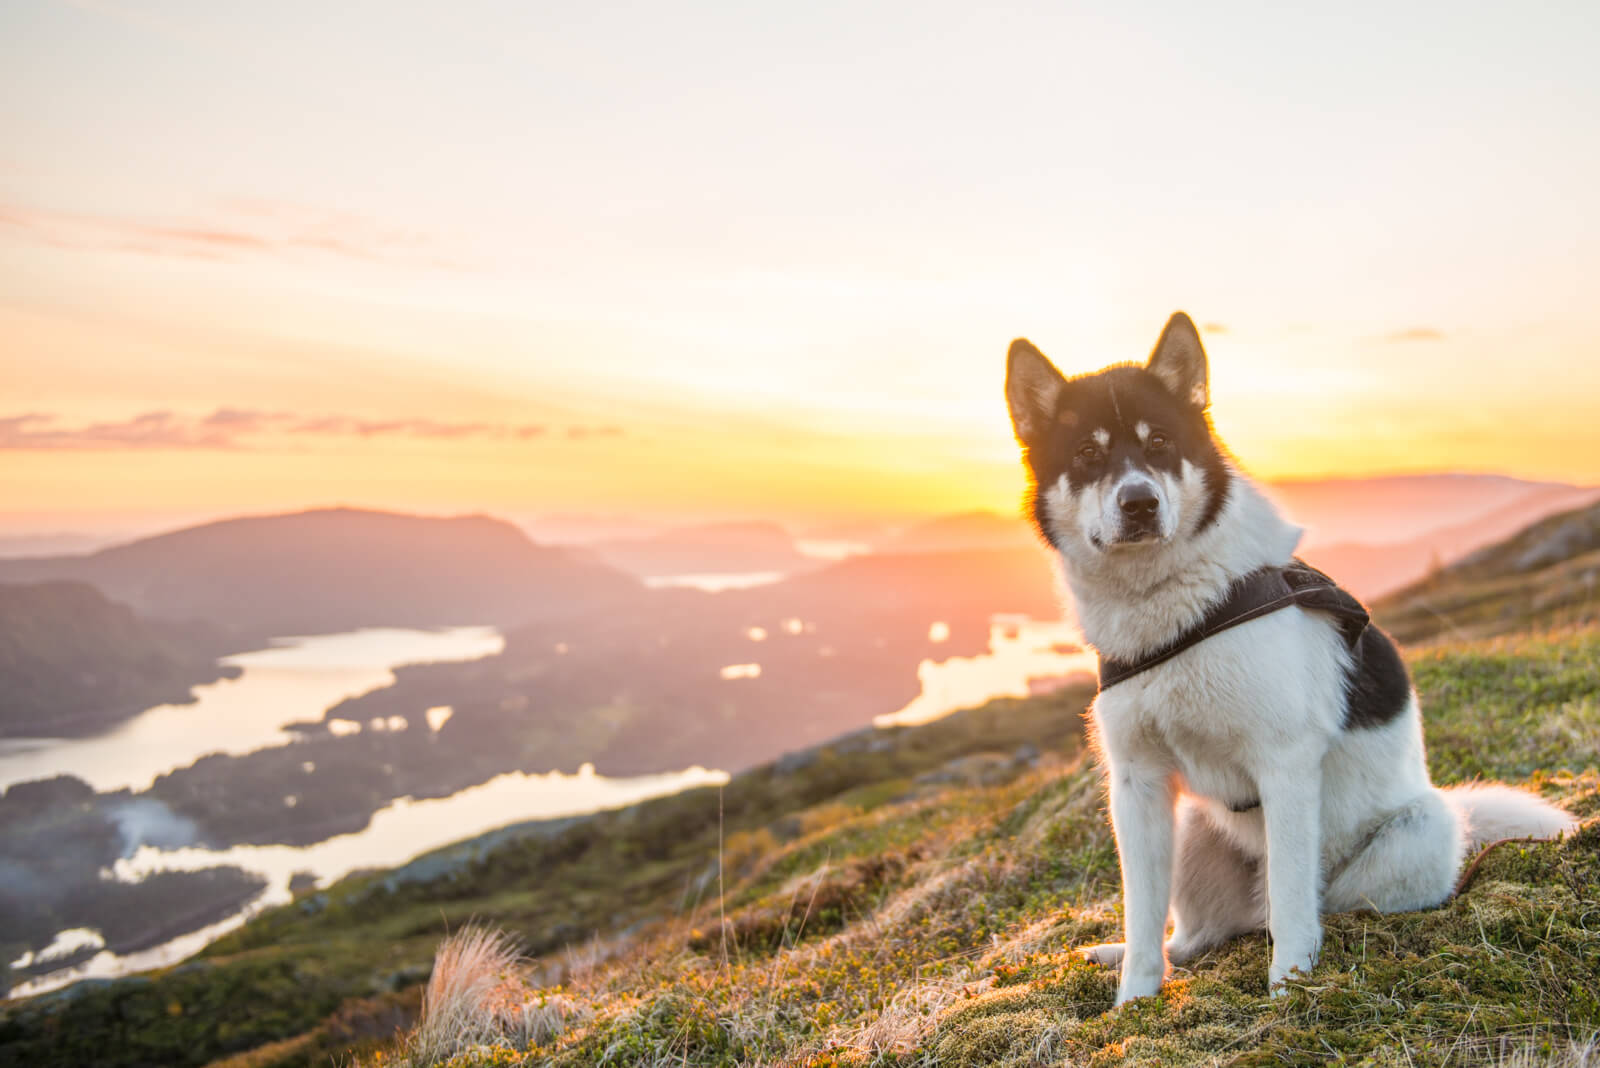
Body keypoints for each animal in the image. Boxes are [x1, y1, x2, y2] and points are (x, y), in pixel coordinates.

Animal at [998, 313, 1574, 1004]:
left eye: (1160, 442)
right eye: (1088, 452)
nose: (1140, 503)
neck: (1179, 611)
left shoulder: (1286, 766)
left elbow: (1296, 900)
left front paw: (1292, 984)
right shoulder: (1138, 785)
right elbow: (1142, 915)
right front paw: (1134, 1003)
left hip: (1413, 837)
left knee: (1316, 902)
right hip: (1193, 835)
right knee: (1194, 938)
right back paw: (1125, 954)